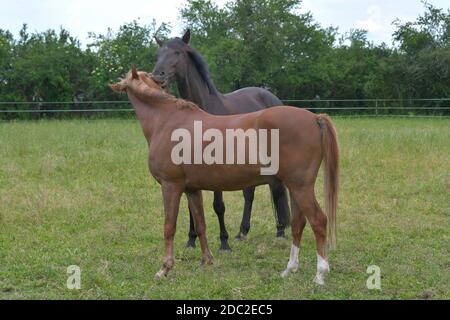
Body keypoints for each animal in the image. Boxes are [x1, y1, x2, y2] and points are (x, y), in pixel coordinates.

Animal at [110, 67, 340, 284]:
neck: (166, 121)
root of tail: (314, 118)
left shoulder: (170, 186)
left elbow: (169, 227)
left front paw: (164, 268)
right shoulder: (192, 189)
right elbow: (200, 224)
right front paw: (207, 261)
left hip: (300, 186)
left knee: (319, 221)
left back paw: (320, 275)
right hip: (295, 187)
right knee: (298, 223)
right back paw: (289, 269)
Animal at [153, 30, 290, 251]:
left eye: (177, 52)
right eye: (158, 54)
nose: (158, 76)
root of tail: (272, 97)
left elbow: (218, 206)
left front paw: (224, 242)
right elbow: (192, 206)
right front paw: (191, 240)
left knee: (276, 188)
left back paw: (280, 231)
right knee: (250, 193)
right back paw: (242, 232)